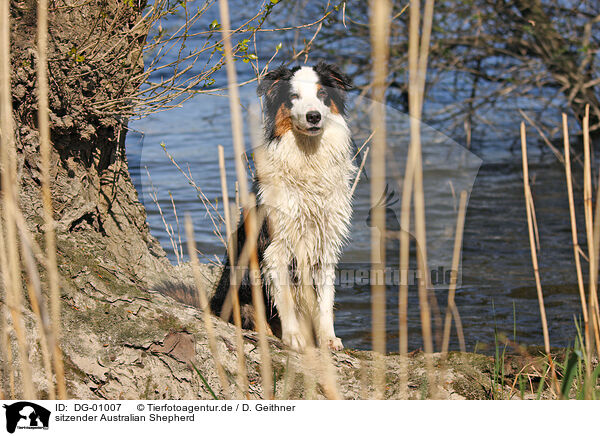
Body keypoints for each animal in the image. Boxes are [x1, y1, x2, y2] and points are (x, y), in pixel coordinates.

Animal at [211, 61, 354, 350]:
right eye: (293, 97)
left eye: (322, 94)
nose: (313, 117)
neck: (308, 157)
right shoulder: (275, 244)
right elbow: (285, 297)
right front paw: (294, 337)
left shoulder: (325, 243)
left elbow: (325, 299)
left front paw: (328, 337)